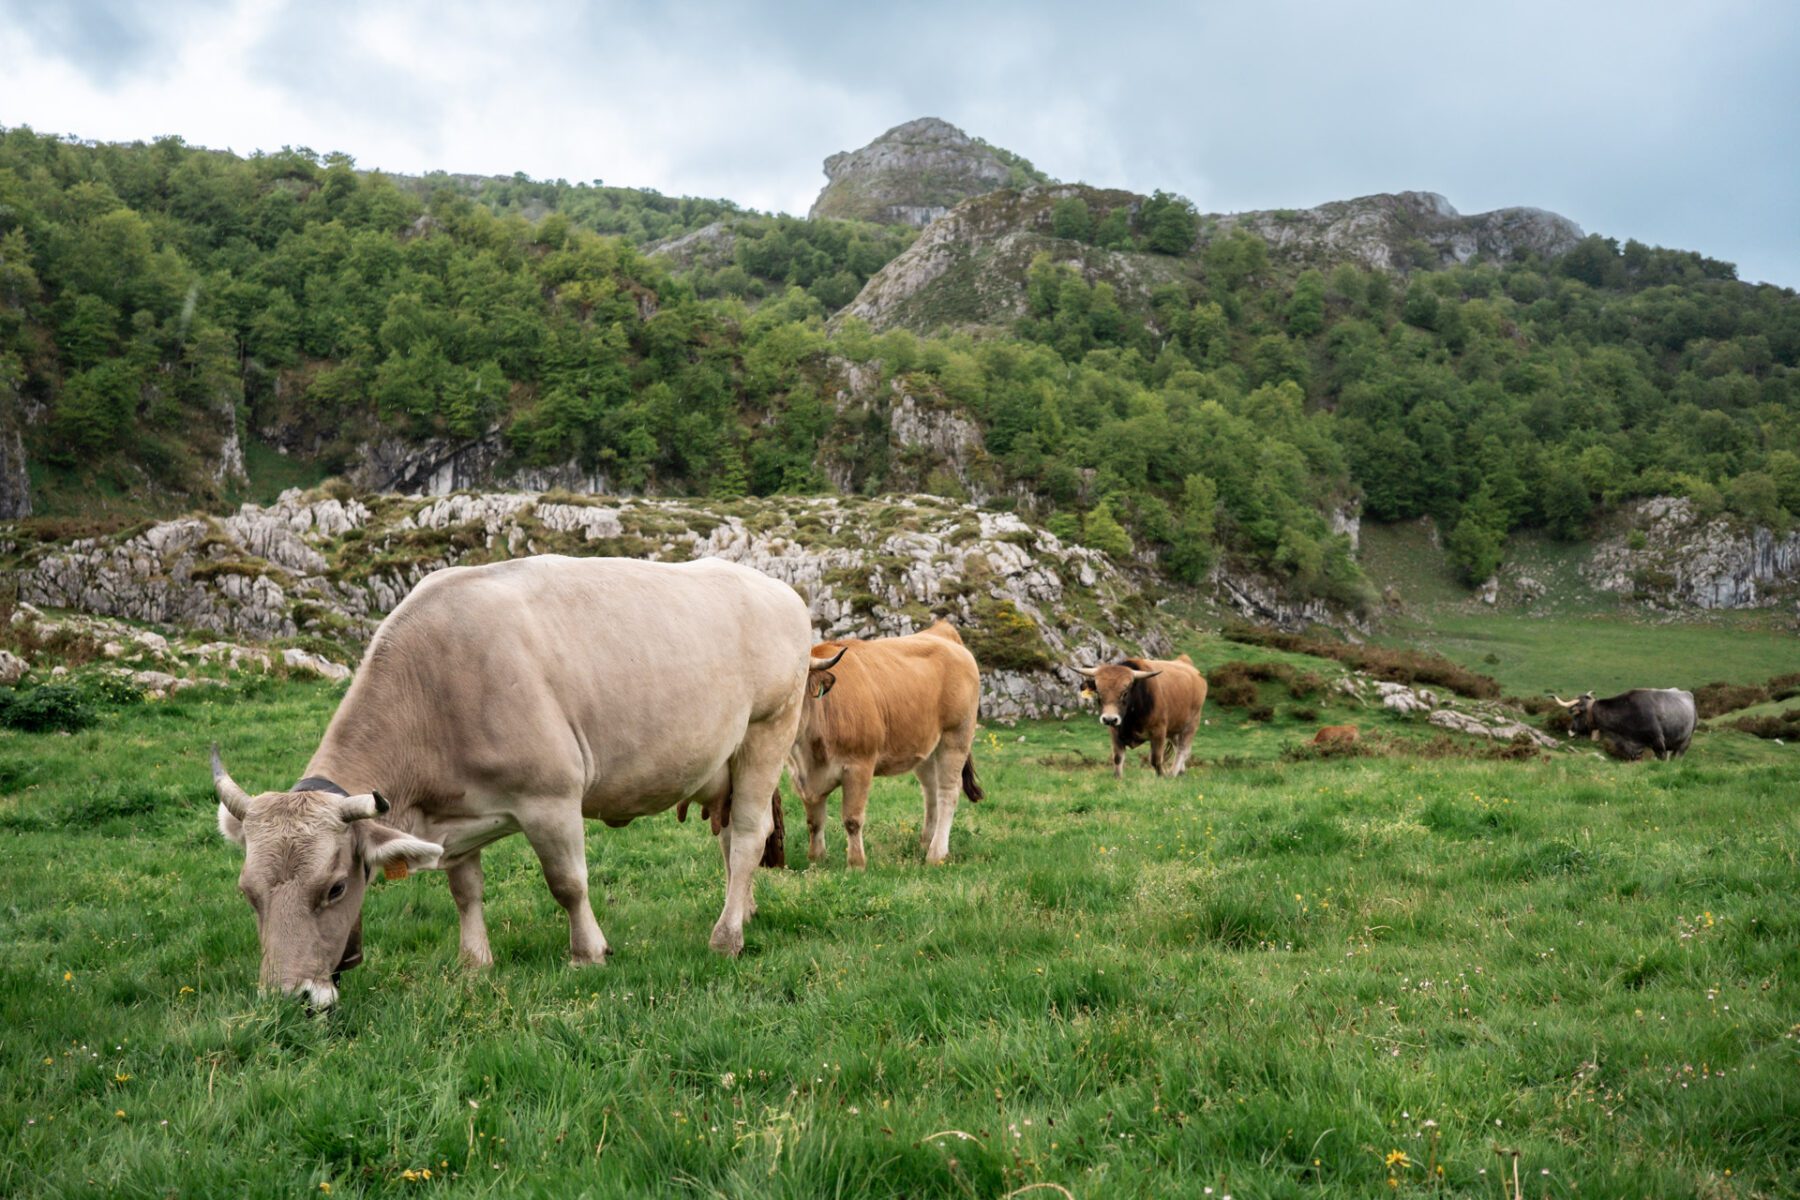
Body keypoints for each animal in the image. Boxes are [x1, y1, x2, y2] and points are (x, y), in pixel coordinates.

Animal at [211, 555, 813, 1009]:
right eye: (247, 893)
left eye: (335, 888)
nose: (290, 998)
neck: (433, 689)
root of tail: (776, 587)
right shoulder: (453, 819)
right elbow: (464, 890)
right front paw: (474, 962)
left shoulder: (551, 799)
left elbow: (568, 884)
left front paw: (588, 953)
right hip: (725, 764)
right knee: (733, 840)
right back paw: (745, 911)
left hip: (769, 730)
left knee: (747, 837)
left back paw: (727, 936)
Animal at [786, 620, 983, 867]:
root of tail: (942, 631)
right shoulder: (803, 777)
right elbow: (814, 822)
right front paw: (816, 860)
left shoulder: (859, 766)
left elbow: (852, 819)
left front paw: (856, 863)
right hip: (927, 747)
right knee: (931, 791)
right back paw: (925, 842)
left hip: (956, 736)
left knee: (948, 792)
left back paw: (936, 853)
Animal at [1073, 655, 1208, 780]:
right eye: (1099, 692)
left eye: (1125, 693)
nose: (1109, 719)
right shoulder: (1115, 732)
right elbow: (1118, 758)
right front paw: (1118, 778)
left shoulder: (1158, 731)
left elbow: (1155, 759)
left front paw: (1162, 776)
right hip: (1174, 728)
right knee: (1177, 746)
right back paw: (1181, 772)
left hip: (1191, 724)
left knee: (1183, 749)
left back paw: (1172, 773)